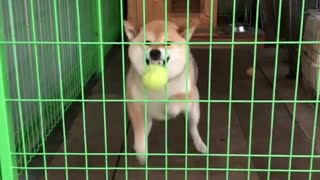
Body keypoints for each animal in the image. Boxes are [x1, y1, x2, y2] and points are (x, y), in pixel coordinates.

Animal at [122, 19, 208, 165]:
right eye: (147, 42)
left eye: (168, 43)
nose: (154, 52)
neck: (160, 87)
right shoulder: (135, 105)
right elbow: (139, 131)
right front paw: (141, 151)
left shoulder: (190, 95)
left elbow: (174, 101)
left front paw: (168, 109)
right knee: (147, 126)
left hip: (194, 112)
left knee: (192, 127)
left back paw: (200, 144)